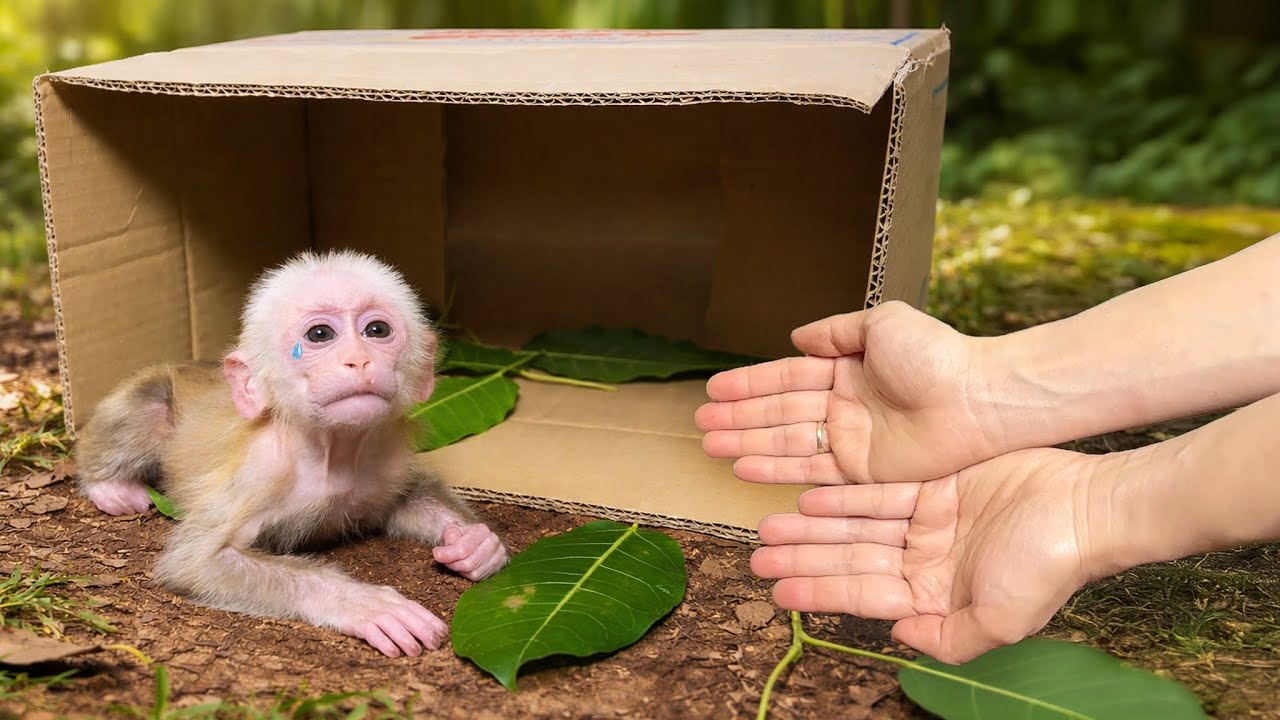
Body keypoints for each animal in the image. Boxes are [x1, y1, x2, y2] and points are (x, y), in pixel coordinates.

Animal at [74, 249, 508, 657]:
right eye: (319, 334)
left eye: (376, 330)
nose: (359, 358)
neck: (332, 454)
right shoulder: (261, 471)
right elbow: (198, 561)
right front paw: (361, 603)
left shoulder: (389, 455)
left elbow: (409, 497)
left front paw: (476, 545)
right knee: (151, 403)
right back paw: (109, 485)